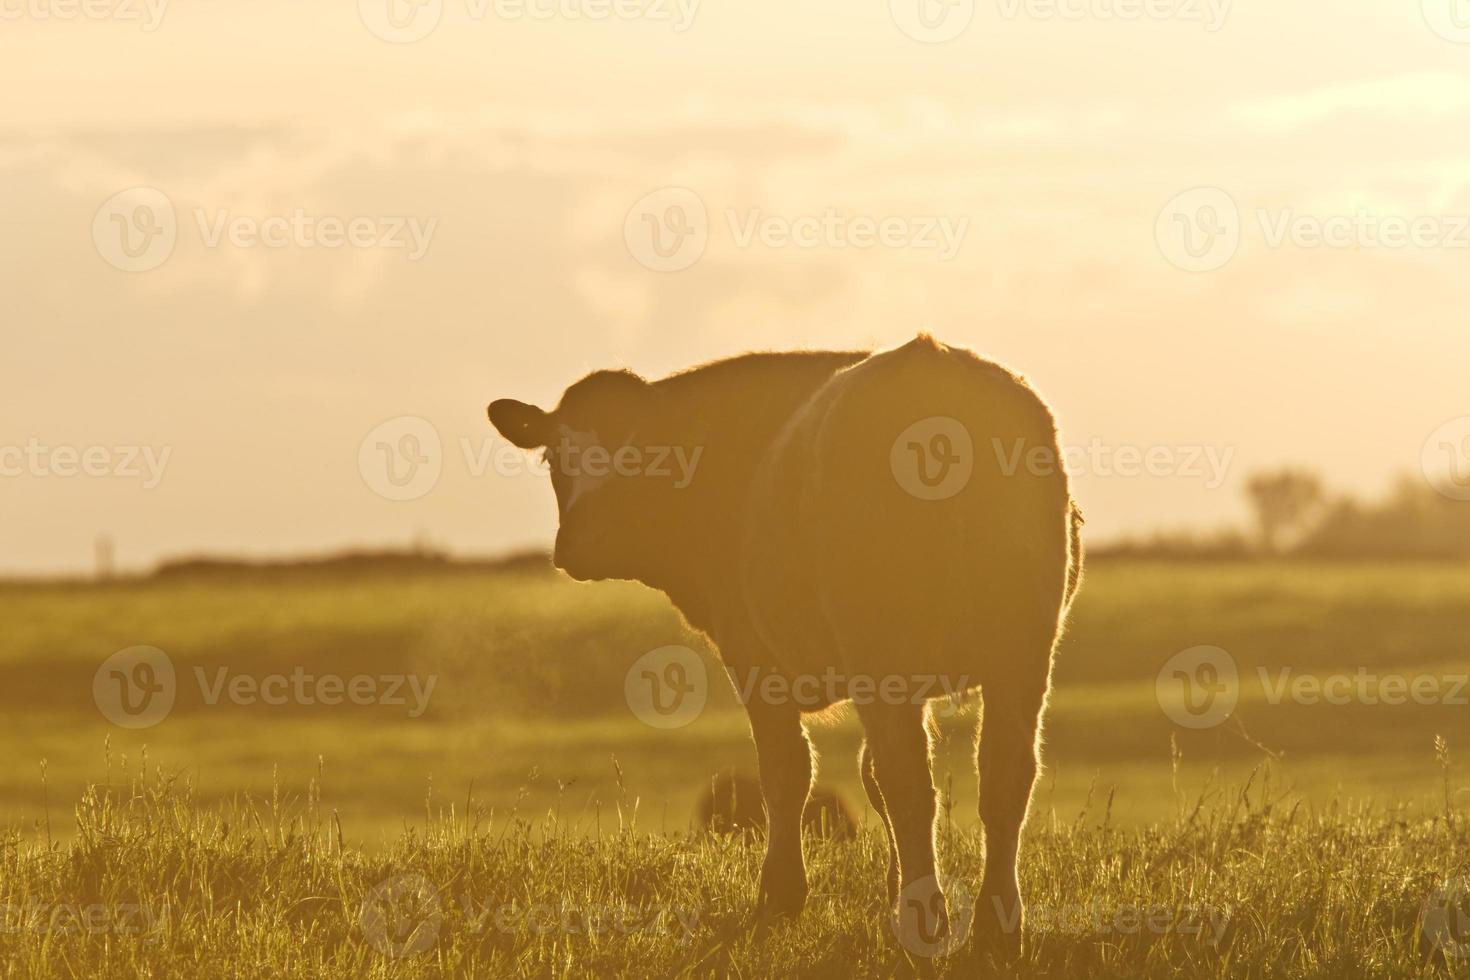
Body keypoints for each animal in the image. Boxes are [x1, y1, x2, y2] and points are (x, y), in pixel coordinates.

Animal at [490, 334, 1081, 957]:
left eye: (641, 455)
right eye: (555, 457)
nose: (582, 542)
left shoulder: (752, 654)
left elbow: (788, 772)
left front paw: (780, 895)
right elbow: (871, 776)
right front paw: (888, 884)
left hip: (889, 651)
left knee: (910, 780)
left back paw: (923, 921)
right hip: (1022, 652)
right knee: (1003, 775)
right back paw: (997, 926)